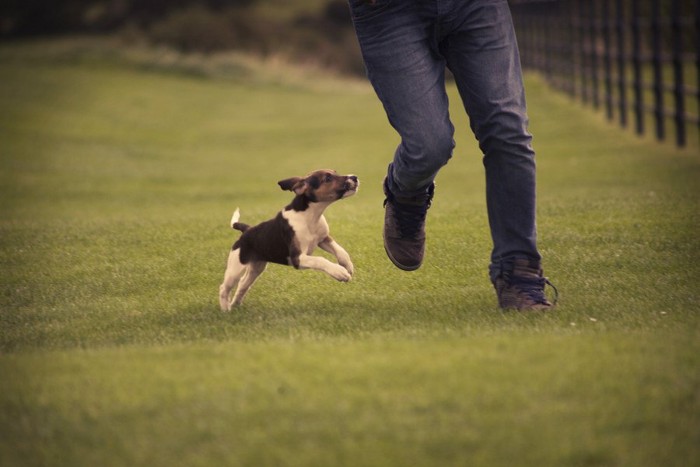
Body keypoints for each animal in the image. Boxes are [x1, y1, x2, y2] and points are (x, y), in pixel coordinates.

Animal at [219, 169, 360, 310]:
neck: (309, 216)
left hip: (256, 268)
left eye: (335, 172)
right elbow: (320, 260)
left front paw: (347, 265)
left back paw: (235, 305)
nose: (354, 177)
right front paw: (339, 272)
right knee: (224, 288)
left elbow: (340, 250)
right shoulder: (298, 258)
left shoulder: (323, 239)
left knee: (243, 284)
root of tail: (246, 230)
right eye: (327, 179)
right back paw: (226, 309)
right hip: (235, 268)